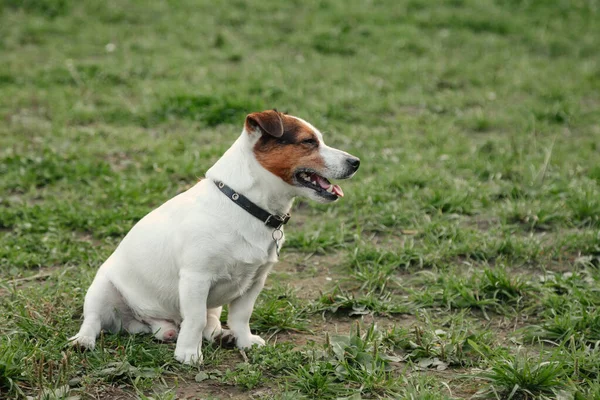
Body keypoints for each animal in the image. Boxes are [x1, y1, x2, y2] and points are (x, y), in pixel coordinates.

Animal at [70, 108, 360, 362]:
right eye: (308, 142)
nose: (356, 162)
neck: (244, 205)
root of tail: (148, 321)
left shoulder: (255, 281)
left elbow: (240, 317)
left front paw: (244, 341)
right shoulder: (196, 278)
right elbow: (195, 319)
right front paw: (188, 354)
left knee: (203, 321)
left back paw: (214, 334)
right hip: (101, 289)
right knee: (94, 320)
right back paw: (84, 340)